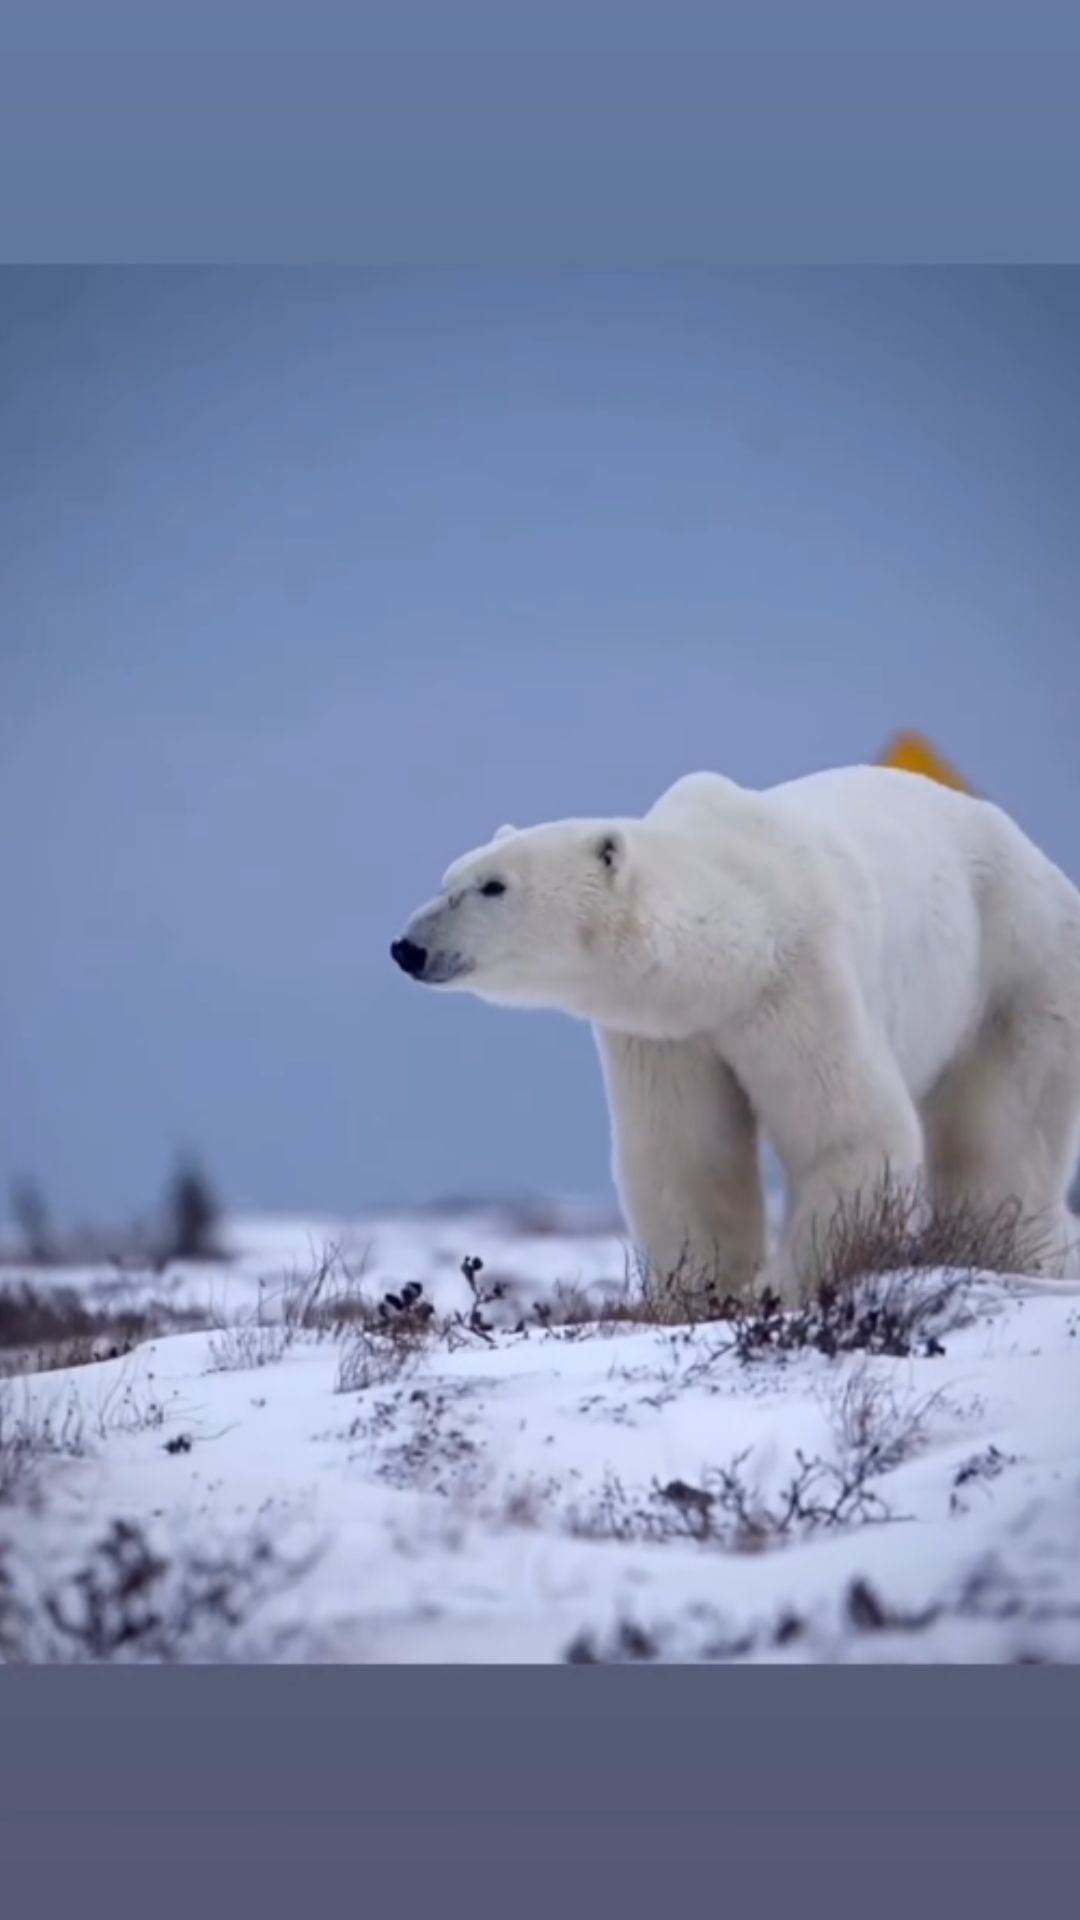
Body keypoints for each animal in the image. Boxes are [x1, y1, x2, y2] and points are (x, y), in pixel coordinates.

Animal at [391, 765, 1080, 1303]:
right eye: (448, 879)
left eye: (493, 886)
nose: (407, 947)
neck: (742, 933)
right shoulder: (667, 1031)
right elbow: (687, 1156)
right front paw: (701, 1290)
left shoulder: (803, 979)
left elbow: (848, 1131)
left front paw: (782, 1286)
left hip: (1016, 969)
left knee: (1001, 1130)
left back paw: (1005, 1250)